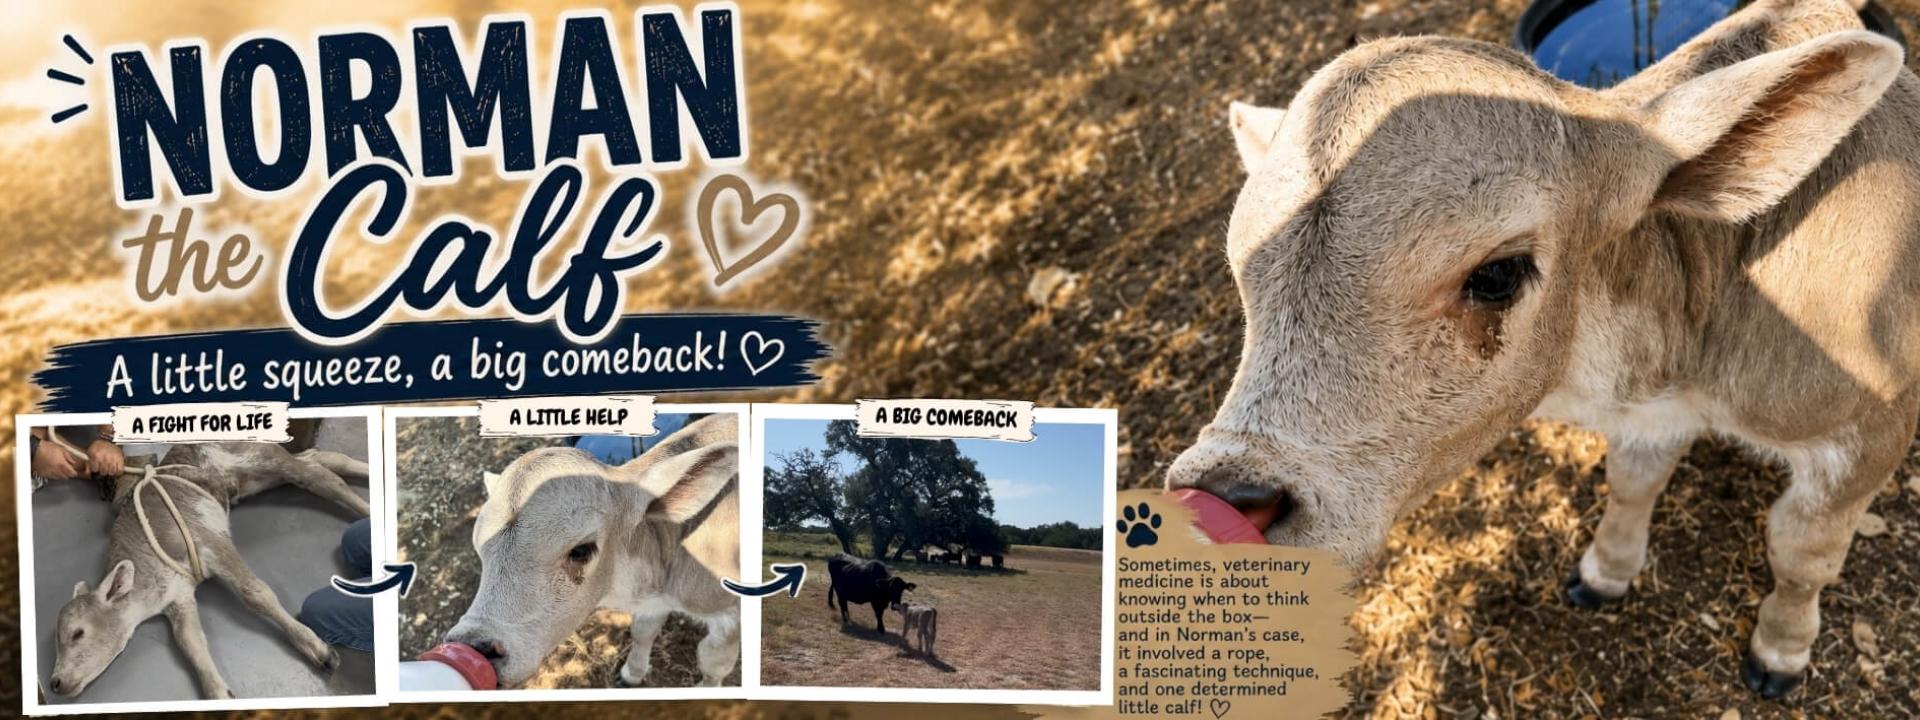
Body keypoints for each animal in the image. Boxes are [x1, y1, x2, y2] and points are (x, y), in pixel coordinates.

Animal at [445, 415, 741, 688]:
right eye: (479, 547)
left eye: (580, 551)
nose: (476, 647)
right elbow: (643, 631)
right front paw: (632, 674)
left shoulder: (731, 616)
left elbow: (714, 662)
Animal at [1164, 0, 1917, 699]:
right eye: (1242, 268)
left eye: (1497, 274)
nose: (1230, 500)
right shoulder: (1653, 416)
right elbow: (1633, 482)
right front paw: (1604, 572)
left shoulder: (1872, 428)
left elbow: (1802, 552)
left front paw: (1780, 649)